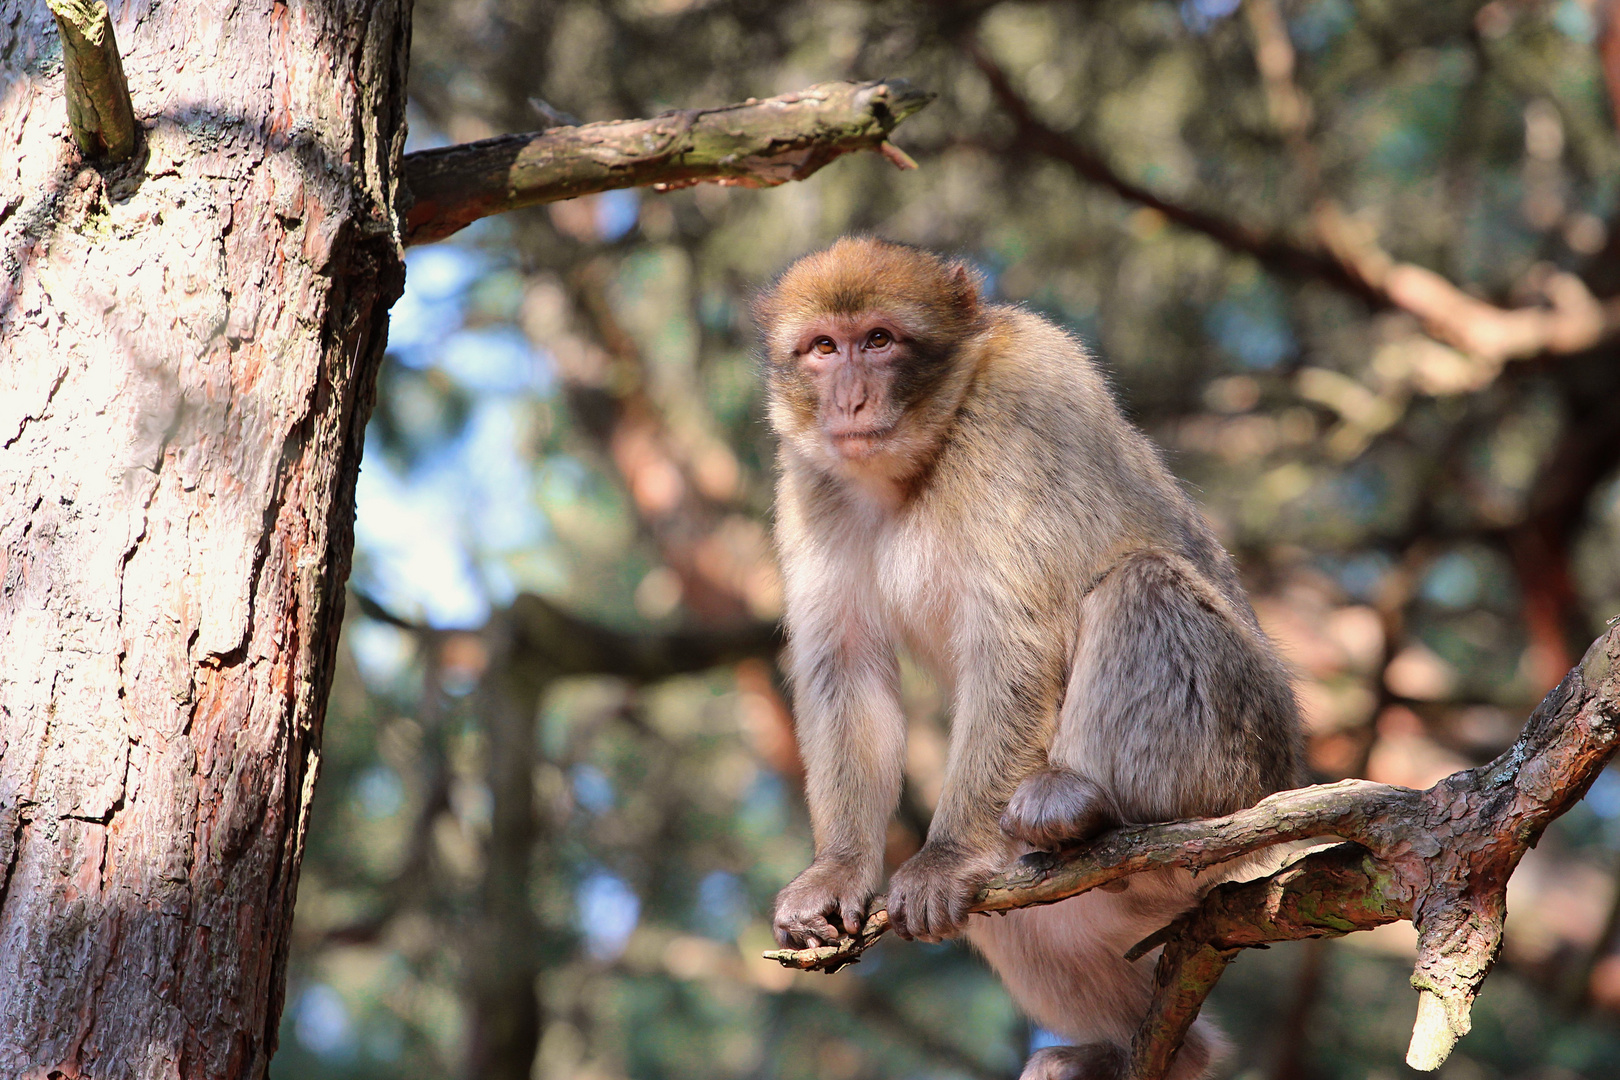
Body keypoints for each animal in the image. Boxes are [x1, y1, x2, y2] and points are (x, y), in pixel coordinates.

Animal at [758, 238, 1302, 1080]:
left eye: (878, 340)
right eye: (823, 347)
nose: (847, 401)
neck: (919, 459)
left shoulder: (1018, 410)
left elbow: (1012, 639)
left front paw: (945, 857)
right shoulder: (813, 482)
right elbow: (844, 667)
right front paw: (837, 870)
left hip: (1249, 758)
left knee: (1141, 585)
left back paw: (1097, 810)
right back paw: (1153, 1052)